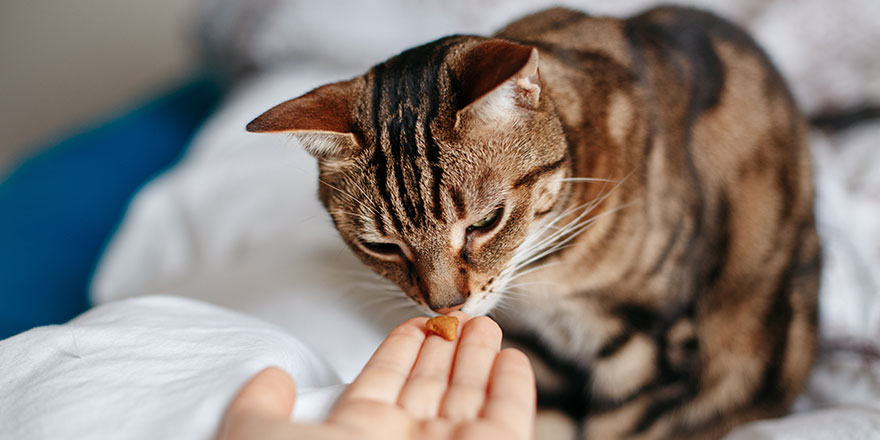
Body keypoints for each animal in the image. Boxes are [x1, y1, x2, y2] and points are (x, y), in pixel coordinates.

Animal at [246, 6, 820, 440]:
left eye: (486, 222)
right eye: (381, 247)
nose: (445, 306)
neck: (547, 279)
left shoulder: (649, 347)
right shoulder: (538, 355)